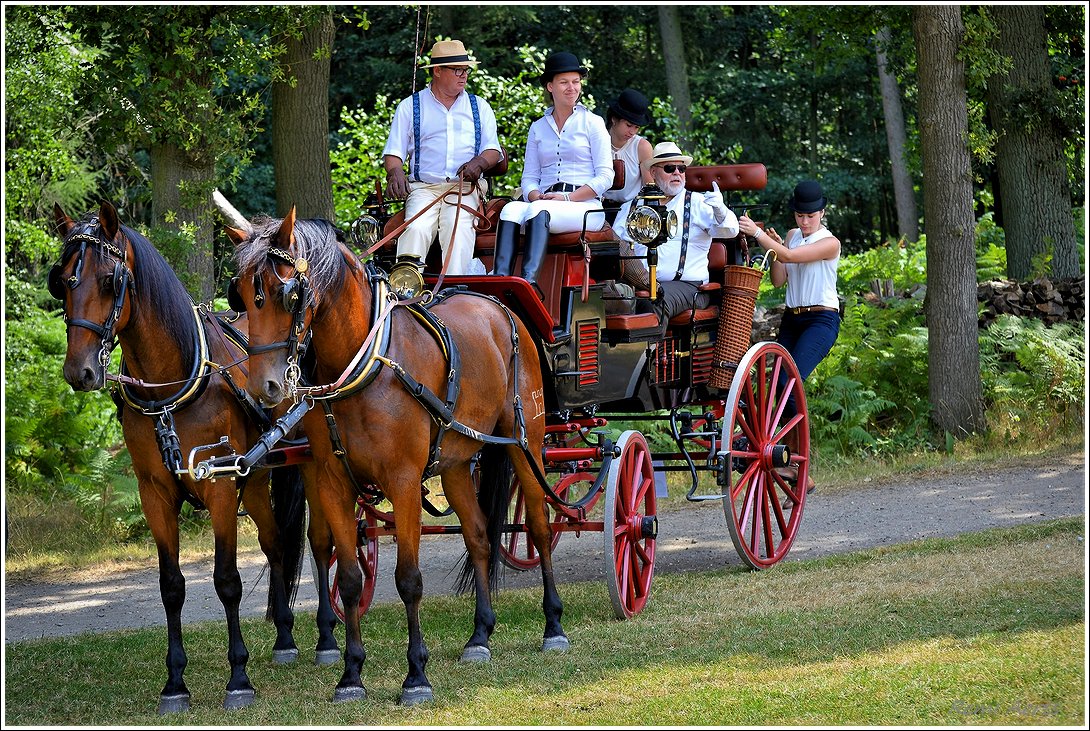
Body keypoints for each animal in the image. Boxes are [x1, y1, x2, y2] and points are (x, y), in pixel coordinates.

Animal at [49, 201, 340, 714]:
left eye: (107, 280)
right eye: (62, 280)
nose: (79, 371)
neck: (172, 388)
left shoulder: (220, 486)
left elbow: (226, 580)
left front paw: (238, 677)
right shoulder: (155, 493)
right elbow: (171, 586)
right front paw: (175, 683)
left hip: (310, 464)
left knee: (320, 544)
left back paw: (326, 638)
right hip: (257, 479)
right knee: (274, 543)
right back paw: (285, 639)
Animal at [229, 209, 571, 705]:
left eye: (285, 293)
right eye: (240, 293)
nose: (266, 387)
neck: (362, 365)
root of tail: (497, 305)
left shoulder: (404, 482)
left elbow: (409, 579)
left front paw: (416, 675)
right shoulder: (332, 482)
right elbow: (349, 581)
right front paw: (351, 674)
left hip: (526, 444)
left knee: (541, 528)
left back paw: (553, 625)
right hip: (455, 464)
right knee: (479, 536)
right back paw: (480, 635)